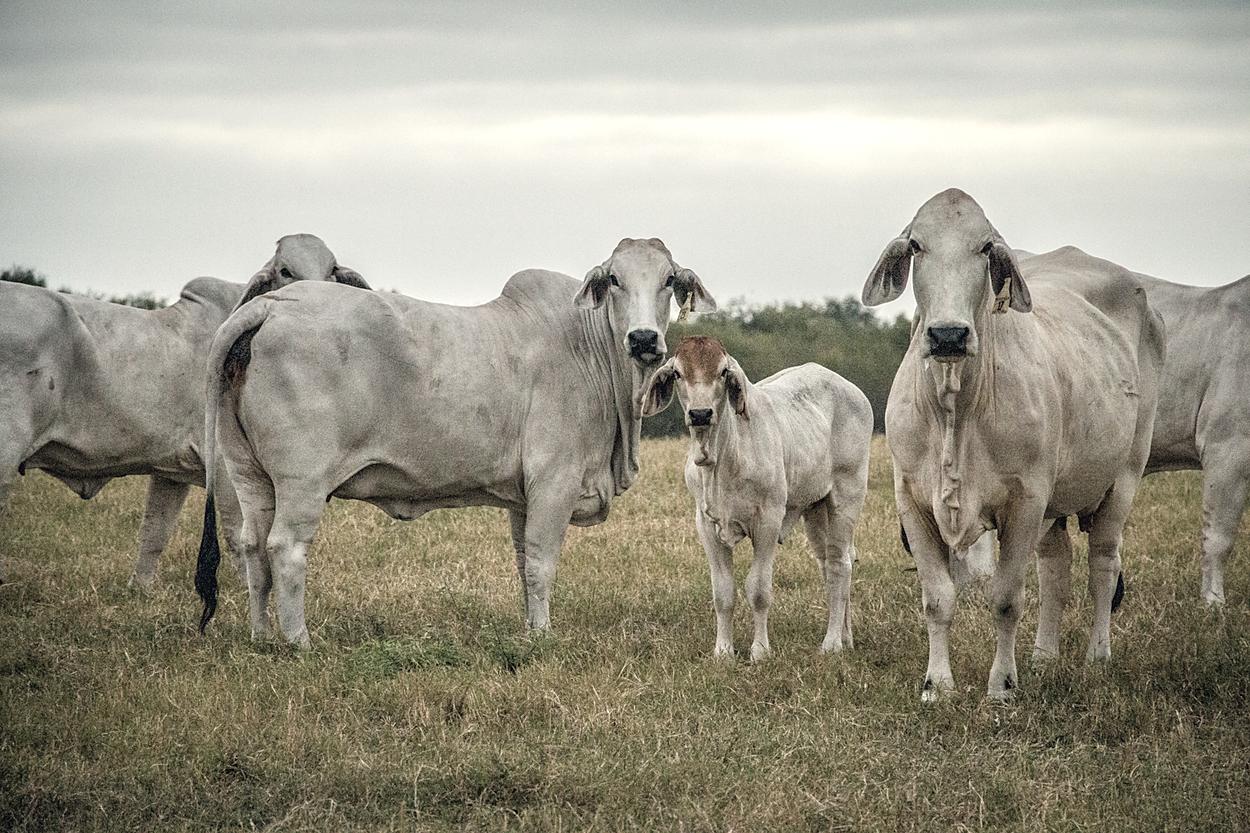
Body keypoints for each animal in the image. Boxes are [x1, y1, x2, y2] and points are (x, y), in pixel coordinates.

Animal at [0, 234, 368, 587]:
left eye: (332, 270)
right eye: (285, 271)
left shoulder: (169, 470)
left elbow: (154, 532)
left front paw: (140, 588)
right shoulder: (225, 466)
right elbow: (237, 535)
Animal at [194, 237, 717, 648]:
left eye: (668, 280)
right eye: (614, 279)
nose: (644, 338)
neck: (592, 351)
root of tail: (275, 304)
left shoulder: (523, 498)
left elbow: (524, 564)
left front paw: (530, 630)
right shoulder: (555, 482)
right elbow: (542, 563)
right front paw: (544, 637)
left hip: (248, 474)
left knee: (251, 545)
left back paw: (262, 636)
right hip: (300, 481)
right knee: (284, 547)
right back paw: (298, 642)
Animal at [639, 336, 872, 660]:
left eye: (723, 372)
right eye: (677, 373)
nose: (700, 414)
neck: (721, 460)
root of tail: (850, 389)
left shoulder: (768, 521)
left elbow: (759, 590)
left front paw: (760, 650)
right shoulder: (705, 526)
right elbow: (723, 592)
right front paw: (723, 651)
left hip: (847, 496)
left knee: (840, 565)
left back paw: (832, 642)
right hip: (816, 508)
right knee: (830, 563)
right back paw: (846, 637)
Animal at [862, 189, 1165, 701]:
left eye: (986, 247)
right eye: (917, 245)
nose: (948, 334)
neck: (956, 410)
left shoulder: (1025, 501)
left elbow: (1005, 599)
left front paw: (1002, 685)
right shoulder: (912, 502)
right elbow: (937, 599)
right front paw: (937, 685)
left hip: (1122, 478)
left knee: (1103, 566)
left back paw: (1097, 656)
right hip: (1054, 509)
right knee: (1056, 570)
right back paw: (1044, 657)